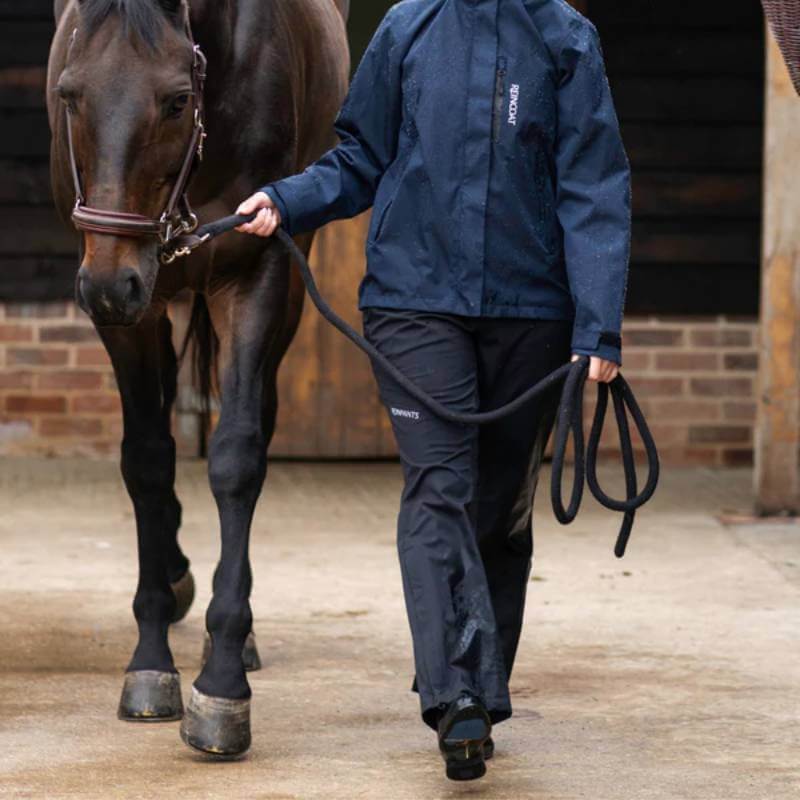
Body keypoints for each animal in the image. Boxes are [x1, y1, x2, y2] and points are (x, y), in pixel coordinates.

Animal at [47, 0, 350, 756]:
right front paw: (151, 662)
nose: (107, 286)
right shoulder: (131, 304)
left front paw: (220, 689)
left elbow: (237, 459)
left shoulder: (256, 270)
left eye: (178, 99)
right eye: (69, 94)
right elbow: (148, 463)